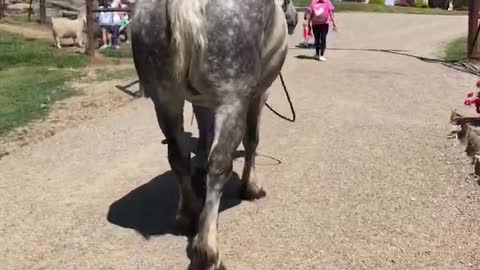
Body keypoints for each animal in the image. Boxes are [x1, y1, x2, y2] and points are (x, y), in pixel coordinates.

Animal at [131, 0, 296, 268]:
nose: (292, 22)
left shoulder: (202, 102)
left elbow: (204, 134)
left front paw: (199, 165)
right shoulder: (259, 95)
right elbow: (252, 140)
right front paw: (251, 188)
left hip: (165, 100)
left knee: (176, 156)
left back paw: (189, 214)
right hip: (232, 101)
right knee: (219, 163)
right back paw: (207, 250)